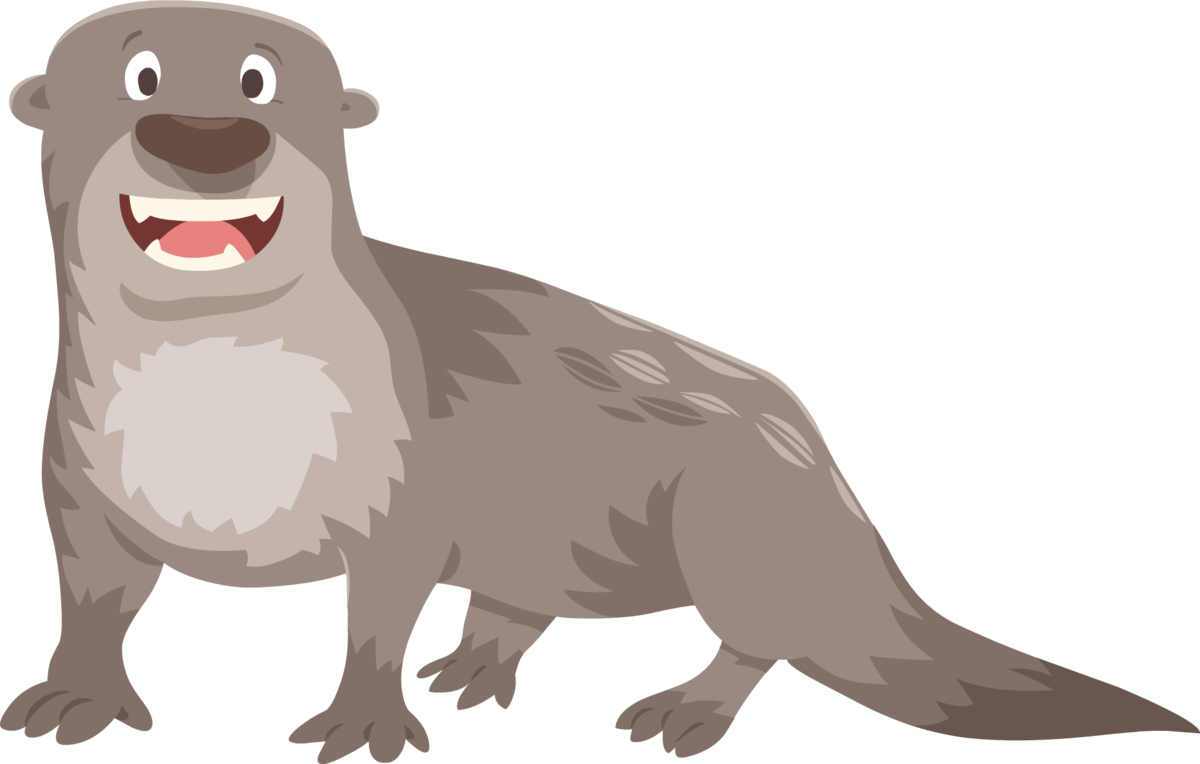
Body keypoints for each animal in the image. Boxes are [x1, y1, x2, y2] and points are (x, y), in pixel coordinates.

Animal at [3, 1, 1196, 761]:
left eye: (261, 80)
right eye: (141, 77)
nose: (206, 138)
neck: (220, 420)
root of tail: (823, 461)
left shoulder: (403, 495)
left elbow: (379, 611)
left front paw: (365, 725)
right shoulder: (79, 488)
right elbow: (95, 597)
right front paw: (73, 695)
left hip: (738, 523)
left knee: (759, 635)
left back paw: (682, 712)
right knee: (523, 602)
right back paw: (474, 670)